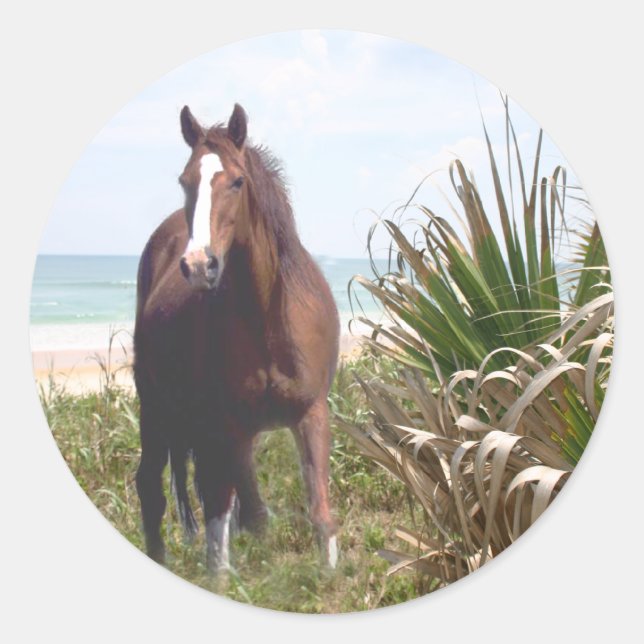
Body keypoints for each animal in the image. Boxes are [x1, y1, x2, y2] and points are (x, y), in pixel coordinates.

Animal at [133, 103, 340, 573]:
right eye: (185, 181)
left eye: (238, 181)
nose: (198, 265)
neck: (269, 319)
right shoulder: (230, 425)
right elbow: (228, 517)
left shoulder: (311, 412)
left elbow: (318, 512)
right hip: (155, 408)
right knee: (151, 489)